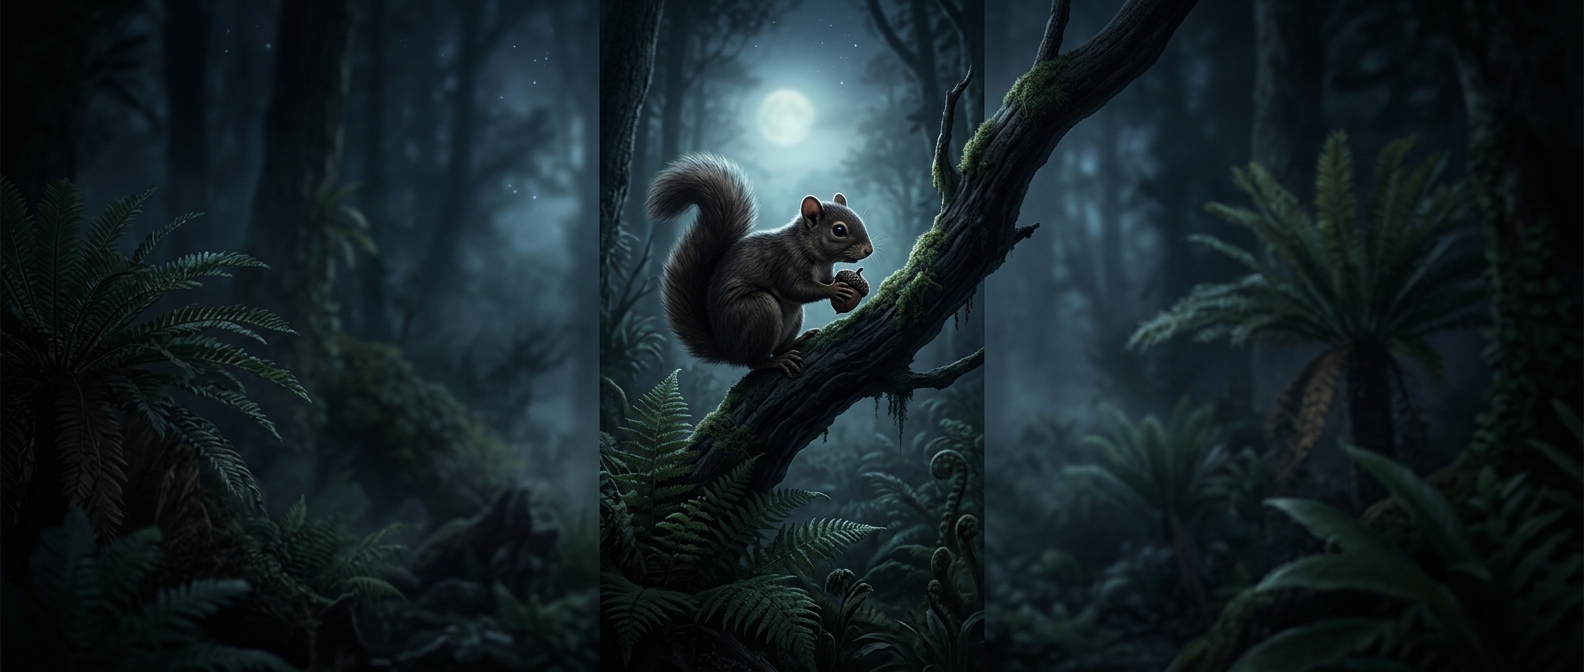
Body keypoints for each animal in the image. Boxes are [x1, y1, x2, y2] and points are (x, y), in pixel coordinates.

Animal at [648, 153, 873, 378]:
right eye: (839, 230)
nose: (868, 250)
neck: (815, 255)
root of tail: (726, 348)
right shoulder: (785, 263)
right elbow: (796, 289)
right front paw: (835, 289)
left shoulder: (824, 271)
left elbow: (823, 281)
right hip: (759, 310)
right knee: (754, 361)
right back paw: (775, 361)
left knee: (777, 348)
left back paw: (798, 340)